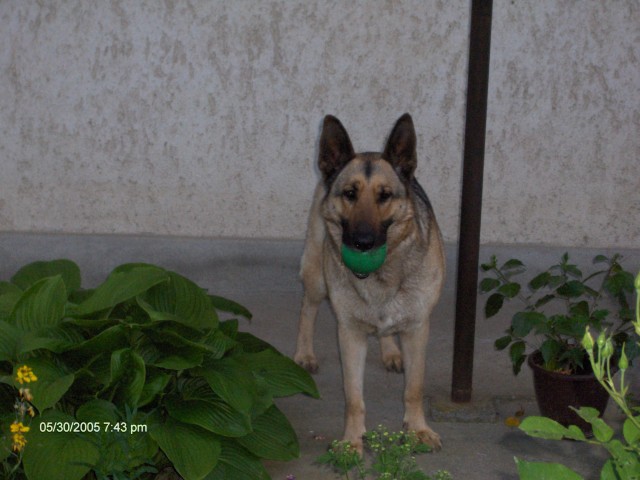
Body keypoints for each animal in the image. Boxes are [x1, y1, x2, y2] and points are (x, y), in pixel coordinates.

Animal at [294, 113, 445, 452]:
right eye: (350, 193)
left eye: (384, 195)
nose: (362, 243)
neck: (381, 275)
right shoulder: (349, 333)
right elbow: (354, 397)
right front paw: (352, 441)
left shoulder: (418, 329)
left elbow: (414, 387)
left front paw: (417, 428)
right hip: (316, 277)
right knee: (307, 309)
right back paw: (304, 354)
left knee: (385, 329)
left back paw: (390, 351)